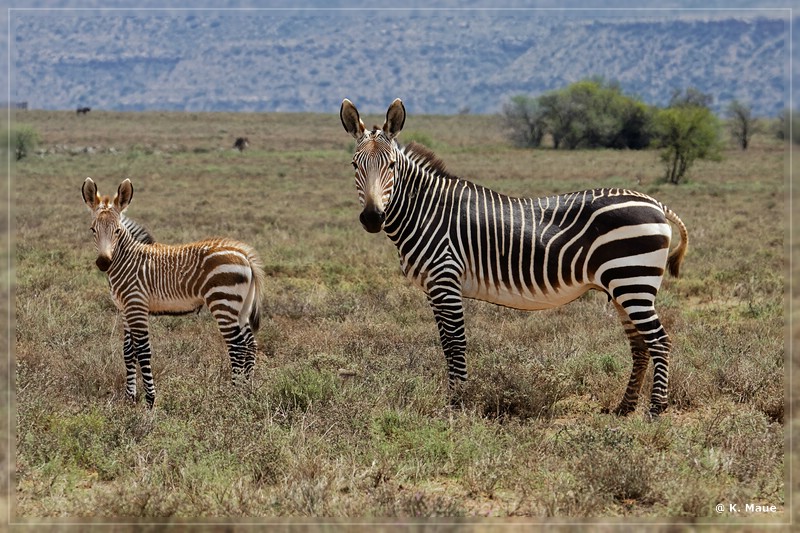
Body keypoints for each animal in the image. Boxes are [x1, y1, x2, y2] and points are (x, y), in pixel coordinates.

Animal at [83, 177, 268, 406]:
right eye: (93, 230)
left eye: (117, 231)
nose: (103, 262)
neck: (128, 260)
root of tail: (244, 255)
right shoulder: (125, 310)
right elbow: (128, 351)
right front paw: (130, 398)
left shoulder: (136, 306)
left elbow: (142, 351)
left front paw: (150, 400)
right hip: (241, 307)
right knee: (250, 344)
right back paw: (246, 391)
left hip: (223, 302)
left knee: (237, 346)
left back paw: (233, 394)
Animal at [340, 97, 688, 418]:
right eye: (356, 165)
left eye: (391, 166)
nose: (372, 218)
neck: (426, 212)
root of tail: (655, 203)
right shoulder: (433, 287)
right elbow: (446, 345)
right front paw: (455, 399)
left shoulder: (445, 280)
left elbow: (455, 344)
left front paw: (458, 404)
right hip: (623, 286)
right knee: (640, 345)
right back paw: (624, 408)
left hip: (633, 281)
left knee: (659, 341)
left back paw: (655, 409)